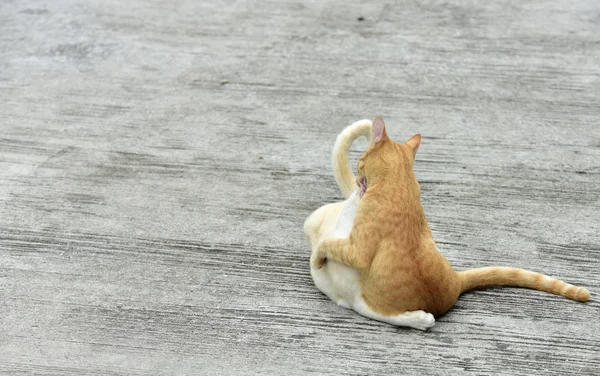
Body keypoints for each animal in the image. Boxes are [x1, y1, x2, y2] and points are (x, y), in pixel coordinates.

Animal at [304, 116, 592, 330]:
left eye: (361, 160)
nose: (359, 178)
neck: (399, 182)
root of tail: (456, 280)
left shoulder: (357, 251)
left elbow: (327, 245)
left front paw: (318, 259)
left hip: (363, 295)